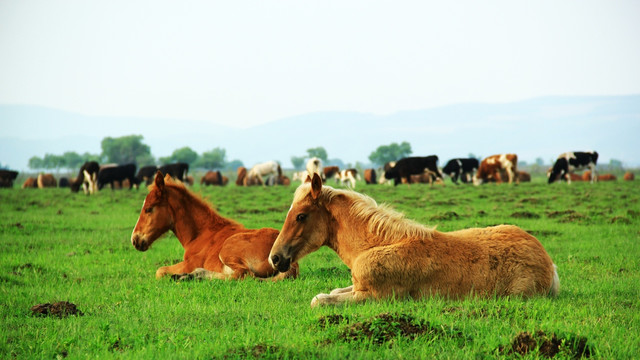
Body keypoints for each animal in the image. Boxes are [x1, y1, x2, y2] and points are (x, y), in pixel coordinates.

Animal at [132, 172, 300, 282]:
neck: (200, 234)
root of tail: (290, 262)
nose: (135, 240)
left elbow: (160, 271)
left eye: (148, 209)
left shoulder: (190, 263)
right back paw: (192, 276)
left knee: (242, 275)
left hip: (228, 249)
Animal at [268, 174, 556, 306]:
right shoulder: (357, 287)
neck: (377, 245)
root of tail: (549, 264)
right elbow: (333, 291)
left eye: (301, 216)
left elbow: (320, 300)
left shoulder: (375, 296)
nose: (275, 258)